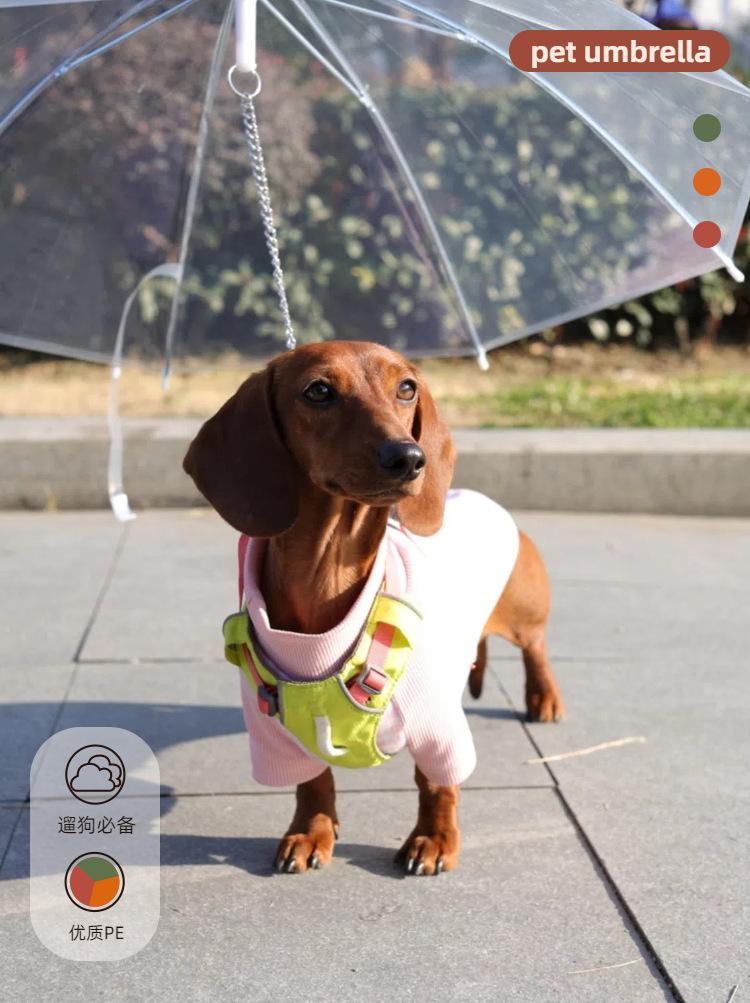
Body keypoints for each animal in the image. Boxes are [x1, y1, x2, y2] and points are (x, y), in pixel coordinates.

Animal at [183, 341, 564, 876]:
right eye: (318, 391)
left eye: (406, 388)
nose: (408, 457)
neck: (326, 585)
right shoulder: (277, 735)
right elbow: (313, 780)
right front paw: (311, 832)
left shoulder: (438, 726)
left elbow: (437, 783)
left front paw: (434, 839)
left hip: (525, 615)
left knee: (537, 649)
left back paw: (543, 698)